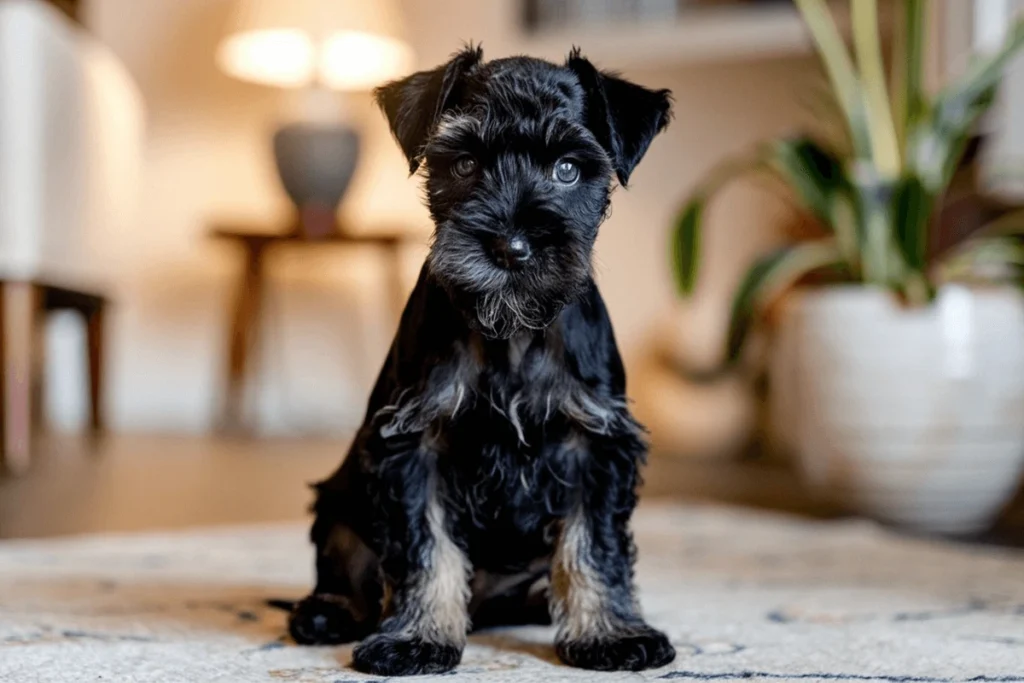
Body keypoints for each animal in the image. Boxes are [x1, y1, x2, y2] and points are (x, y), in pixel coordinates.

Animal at [288, 45, 671, 675]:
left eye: (568, 169)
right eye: (465, 164)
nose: (510, 248)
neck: (509, 331)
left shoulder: (595, 442)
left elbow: (594, 546)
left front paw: (610, 634)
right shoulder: (412, 444)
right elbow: (426, 551)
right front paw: (417, 638)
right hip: (340, 503)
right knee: (348, 567)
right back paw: (326, 612)